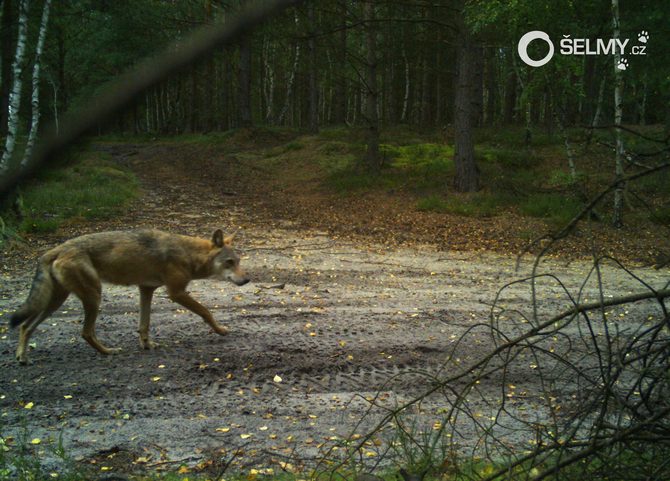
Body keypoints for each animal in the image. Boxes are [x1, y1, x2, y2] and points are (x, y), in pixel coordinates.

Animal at [8, 230, 249, 364]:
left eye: (238, 262)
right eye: (230, 262)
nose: (247, 279)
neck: (189, 254)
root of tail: (54, 250)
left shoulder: (146, 289)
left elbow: (144, 324)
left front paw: (146, 344)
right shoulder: (176, 293)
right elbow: (206, 311)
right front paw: (220, 330)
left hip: (56, 302)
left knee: (25, 326)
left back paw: (22, 357)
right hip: (93, 296)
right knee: (86, 332)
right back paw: (109, 352)